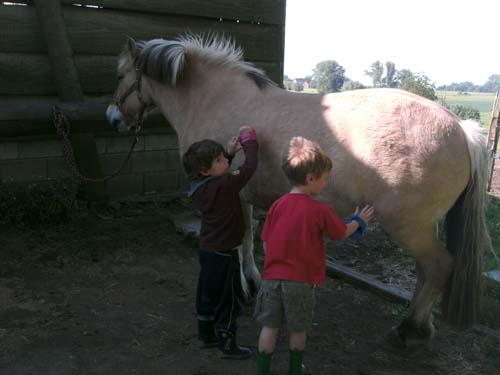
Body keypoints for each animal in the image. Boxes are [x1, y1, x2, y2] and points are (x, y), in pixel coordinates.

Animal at [103, 34, 490, 346]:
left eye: (120, 75)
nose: (112, 118)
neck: (214, 98)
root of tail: (460, 127)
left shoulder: (231, 193)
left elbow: (239, 242)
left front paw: (244, 286)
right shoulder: (244, 194)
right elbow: (250, 239)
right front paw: (253, 282)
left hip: (408, 227)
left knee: (439, 267)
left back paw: (409, 330)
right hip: (421, 227)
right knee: (426, 272)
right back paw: (420, 326)